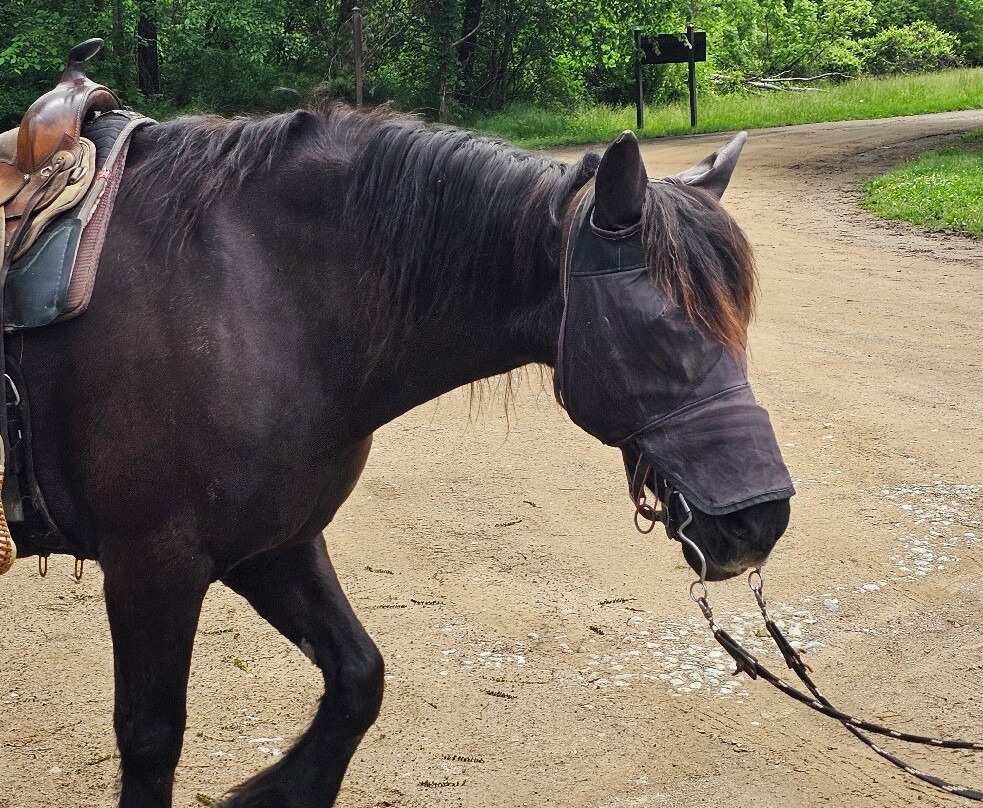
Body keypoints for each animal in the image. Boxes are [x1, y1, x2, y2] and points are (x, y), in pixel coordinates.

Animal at [7, 104, 792, 807]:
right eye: (656, 330)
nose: (761, 522)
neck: (250, 295)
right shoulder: (154, 562)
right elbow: (151, 738)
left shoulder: (272, 545)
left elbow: (360, 678)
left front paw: (275, 792)